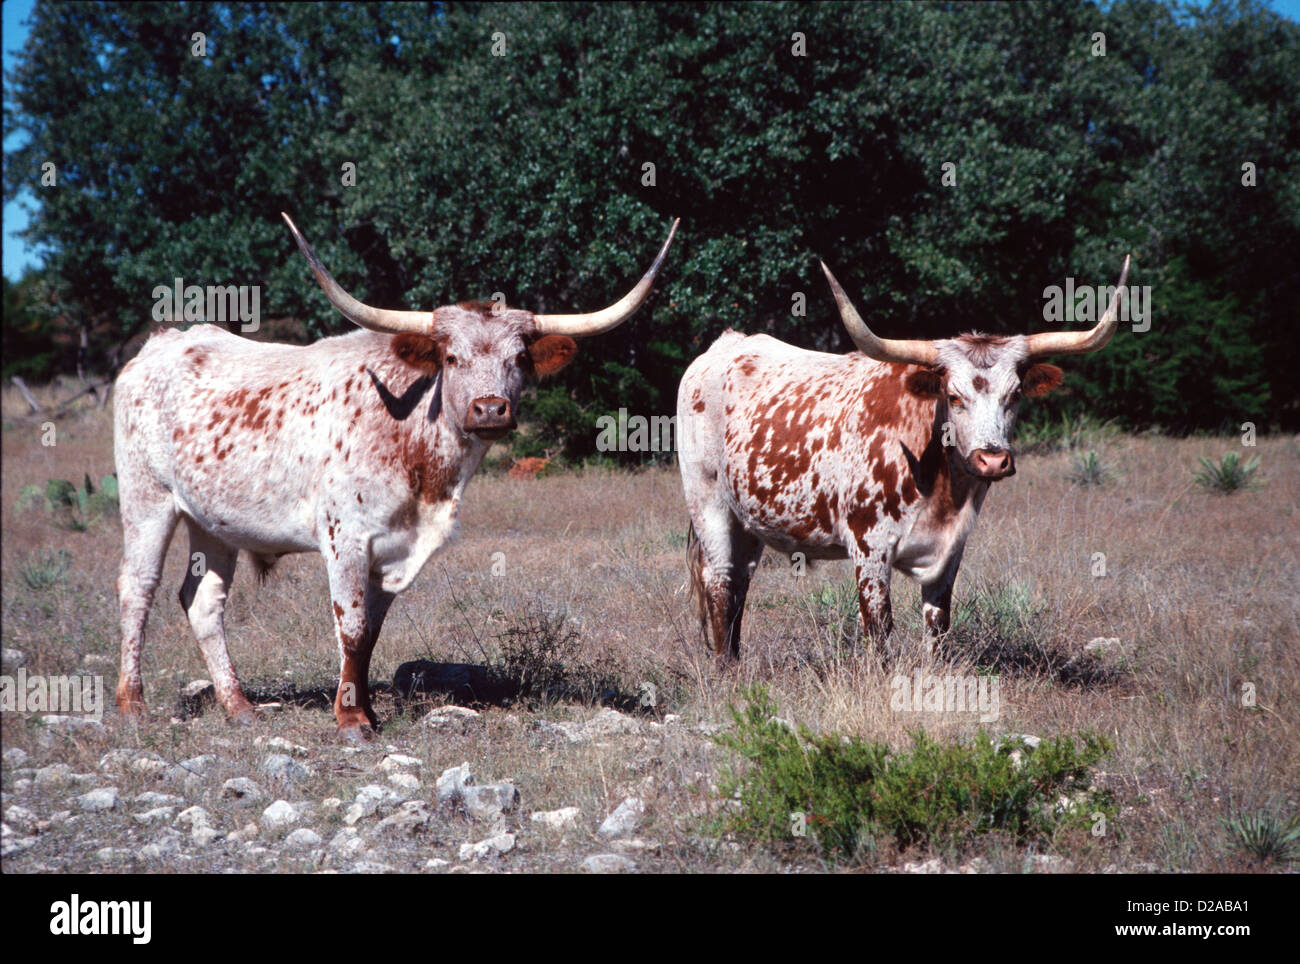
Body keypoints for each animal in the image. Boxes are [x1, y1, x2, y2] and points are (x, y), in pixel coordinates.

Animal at [114, 213, 678, 739]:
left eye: (519, 358)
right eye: (452, 357)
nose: (490, 409)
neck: (419, 457)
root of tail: (159, 345)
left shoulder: (394, 551)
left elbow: (370, 636)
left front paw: (365, 709)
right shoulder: (345, 539)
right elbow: (352, 626)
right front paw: (349, 719)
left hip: (214, 521)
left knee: (204, 601)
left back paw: (238, 706)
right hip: (147, 501)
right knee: (137, 588)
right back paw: (132, 704)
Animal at [677, 255, 1129, 660]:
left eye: (1015, 394)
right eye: (953, 397)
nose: (992, 460)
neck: (941, 489)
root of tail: (725, 345)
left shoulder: (951, 551)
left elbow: (938, 622)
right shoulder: (868, 545)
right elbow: (879, 626)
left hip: (748, 520)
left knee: (739, 584)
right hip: (708, 502)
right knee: (719, 581)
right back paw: (725, 671)